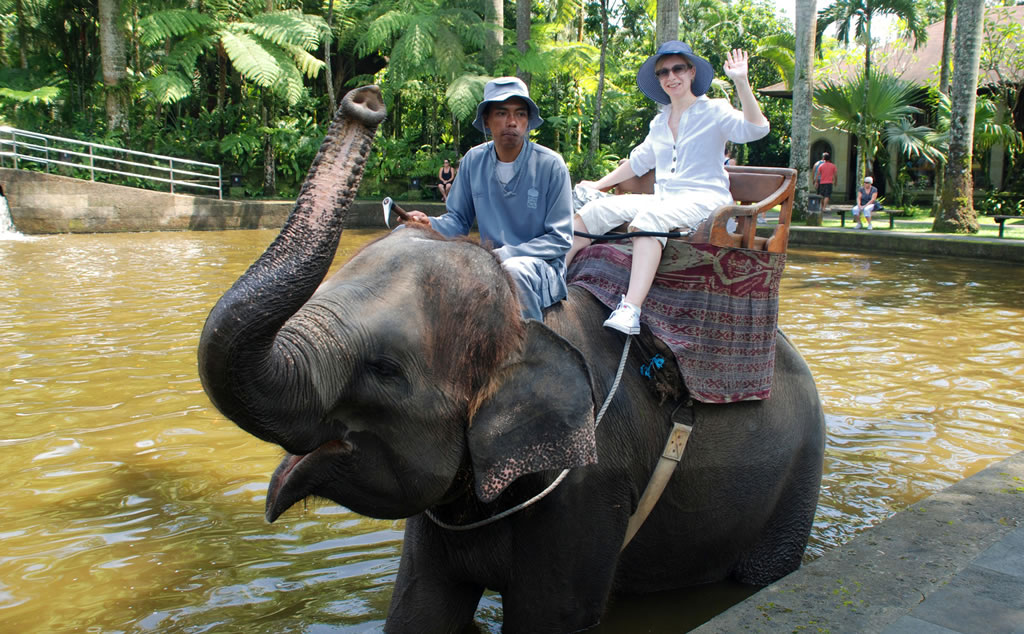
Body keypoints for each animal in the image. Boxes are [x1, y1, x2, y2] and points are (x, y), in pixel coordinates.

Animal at [197, 85, 823, 634]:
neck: (523, 325)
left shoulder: (589, 482)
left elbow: (548, 619)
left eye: (385, 371)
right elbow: (419, 610)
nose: (365, 101)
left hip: (795, 480)